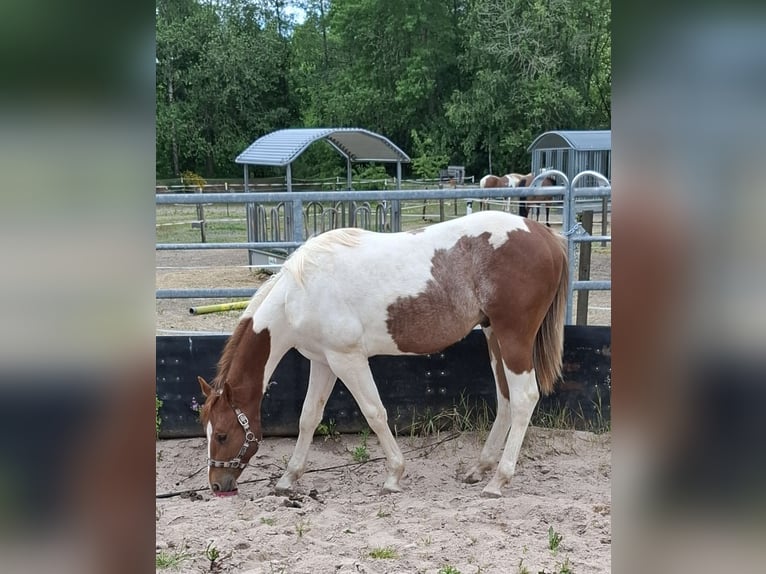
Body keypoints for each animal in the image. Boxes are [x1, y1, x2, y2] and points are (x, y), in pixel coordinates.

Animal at [198, 210, 569, 498]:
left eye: (223, 434)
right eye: (208, 431)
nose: (217, 484)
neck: (300, 293)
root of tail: (545, 236)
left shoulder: (348, 359)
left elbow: (374, 413)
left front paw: (394, 475)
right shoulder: (323, 361)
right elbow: (308, 418)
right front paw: (289, 478)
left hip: (513, 338)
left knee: (524, 398)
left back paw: (498, 481)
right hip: (494, 337)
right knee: (505, 399)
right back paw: (480, 468)